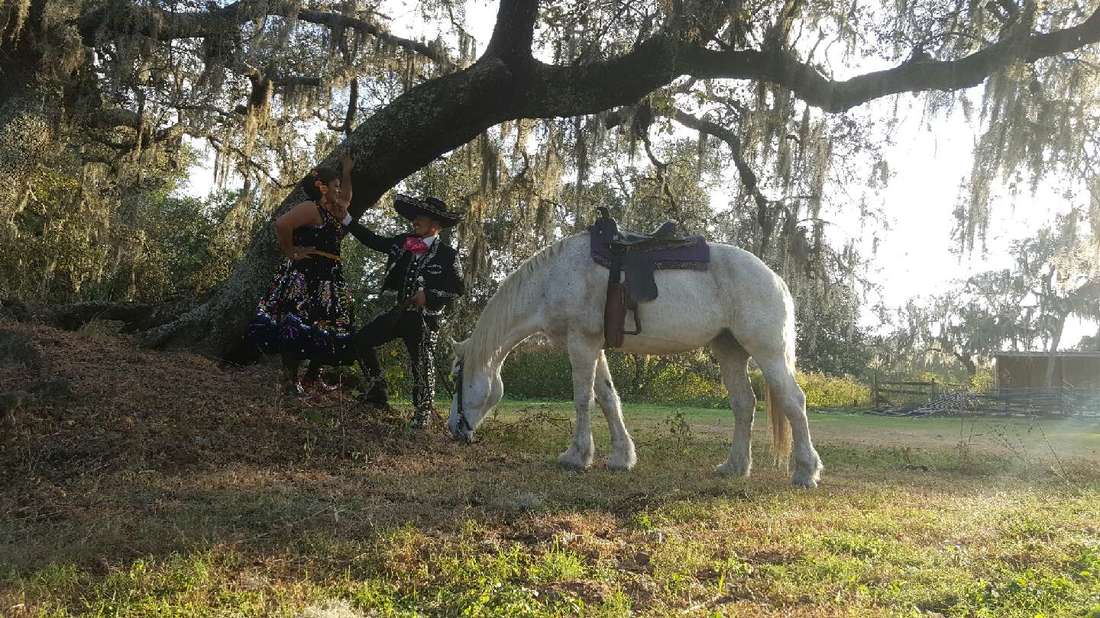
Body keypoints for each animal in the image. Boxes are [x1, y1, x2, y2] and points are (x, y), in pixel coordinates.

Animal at [446, 230, 827, 486]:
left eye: (456, 377)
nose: (453, 428)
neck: (552, 278)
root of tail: (776, 279)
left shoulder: (580, 343)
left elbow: (583, 399)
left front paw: (577, 456)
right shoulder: (595, 346)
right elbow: (608, 398)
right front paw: (621, 457)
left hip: (768, 352)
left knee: (794, 402)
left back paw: (806, 472)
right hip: (730, 350)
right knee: (744, 404)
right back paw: (734, 467)